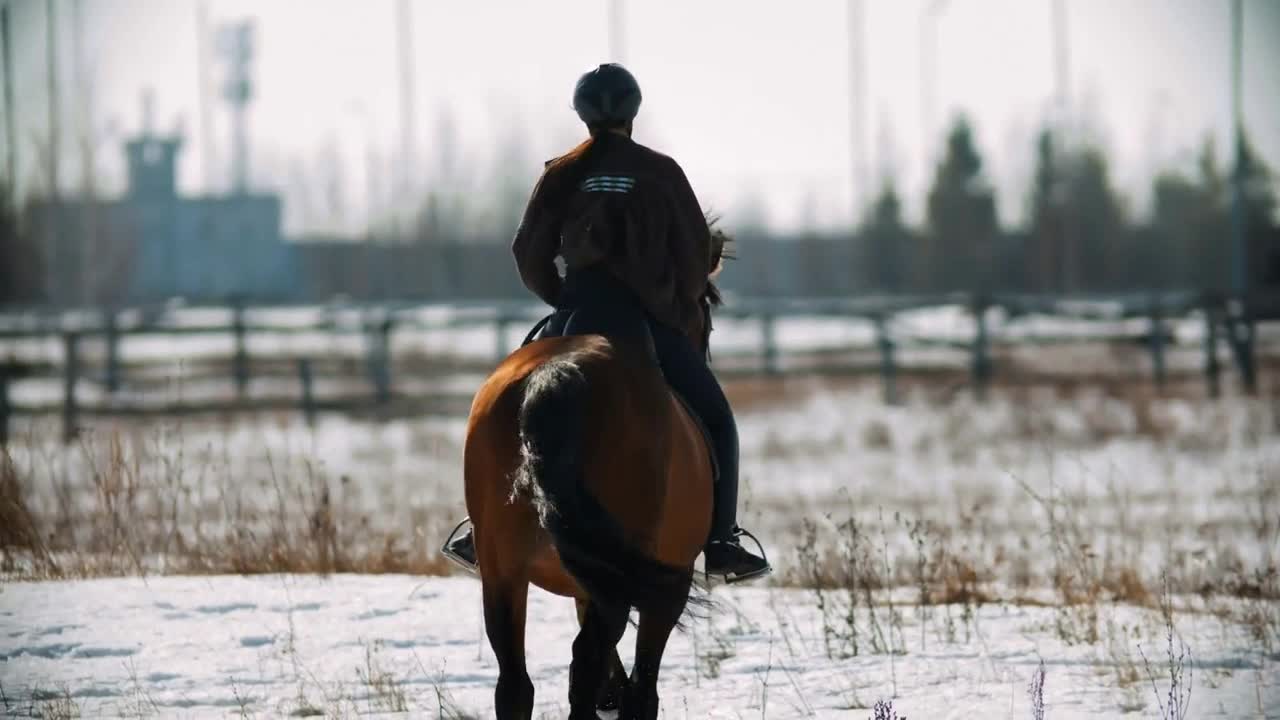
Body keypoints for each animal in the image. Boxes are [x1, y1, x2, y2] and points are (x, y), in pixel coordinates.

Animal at [465, 229, 737, 717]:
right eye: (705, 302)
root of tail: (553, 377)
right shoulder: (666, 584)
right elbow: (642, 687)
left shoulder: (588, 578)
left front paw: (612, 693)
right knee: (585, 663)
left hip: (501, 571)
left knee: (516, 683)